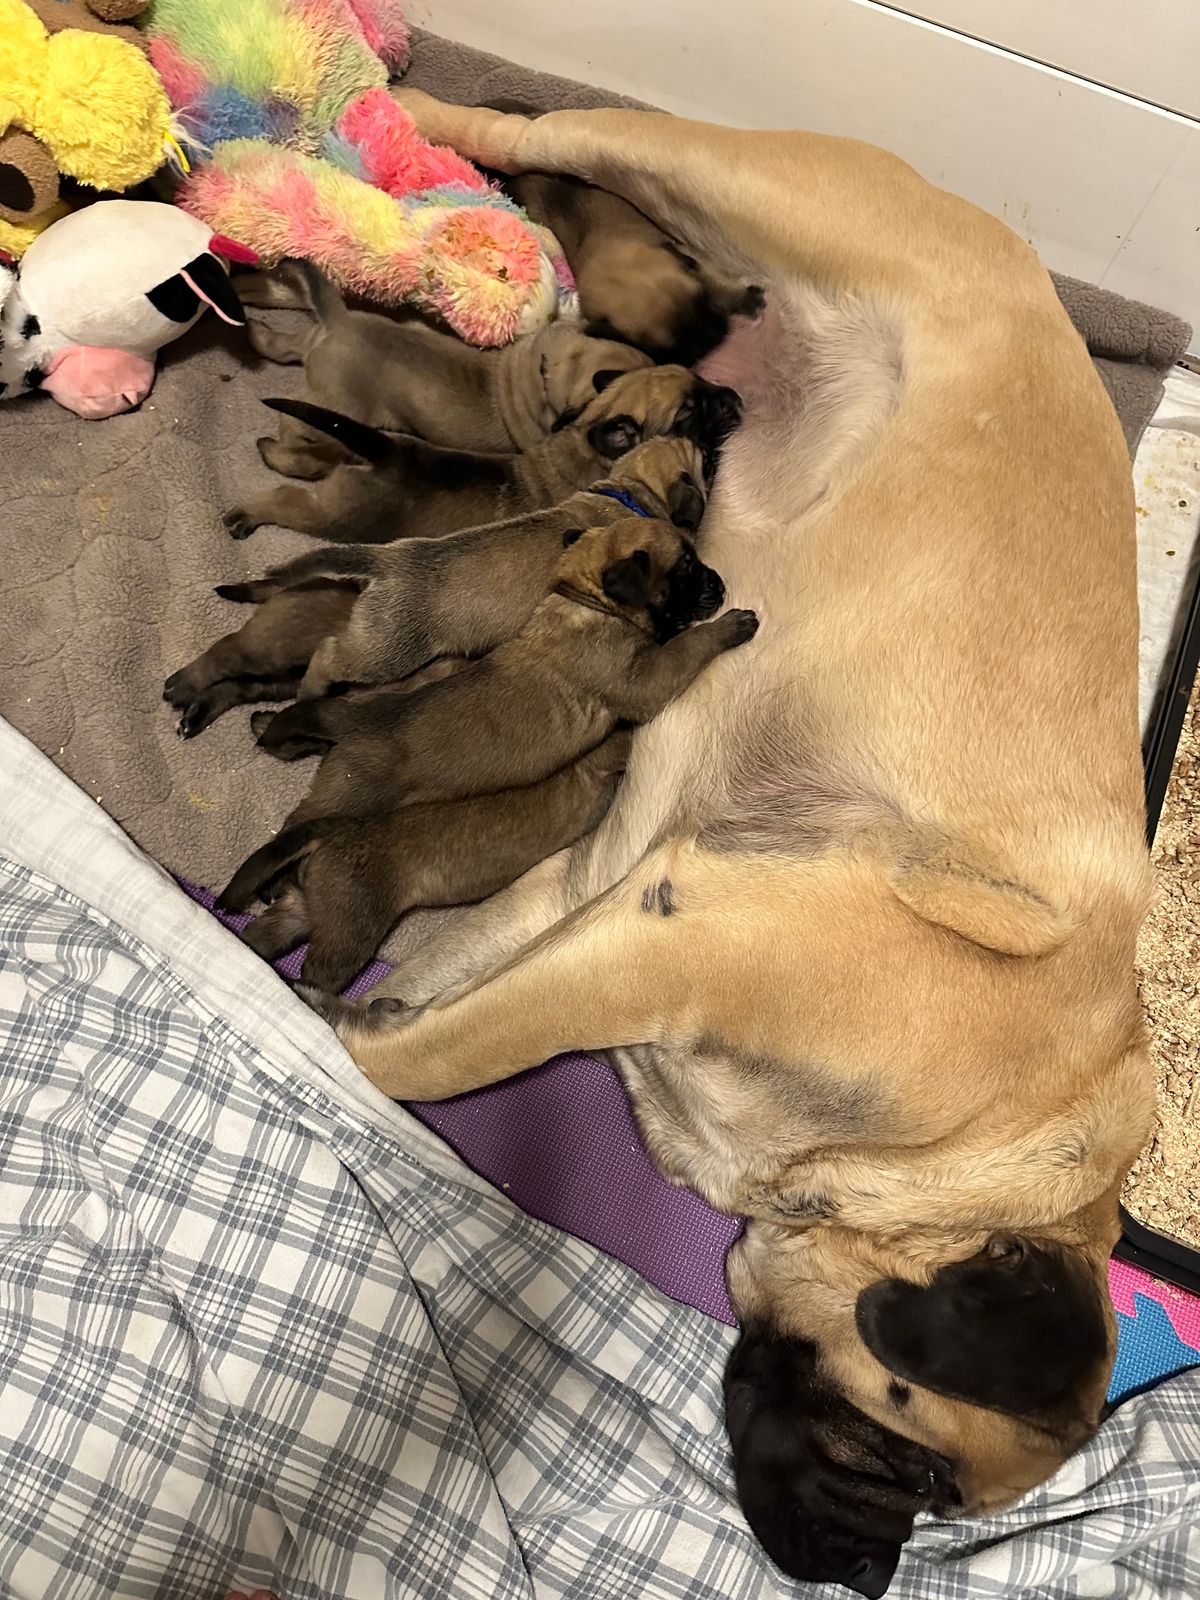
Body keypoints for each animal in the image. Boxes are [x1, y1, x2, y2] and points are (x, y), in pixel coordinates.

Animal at [193, 438, 707, 711]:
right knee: (329, 655)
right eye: (698, 458)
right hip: (387, 652)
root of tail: (388, 562)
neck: (627, 492)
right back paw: (311, 690)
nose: (706, 443)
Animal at [224, 364, 740, 543]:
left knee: (313, 457)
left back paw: (274, 451)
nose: (735, 397)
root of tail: (383, 451)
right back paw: (246, 513)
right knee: (288, 503)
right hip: (340, 515)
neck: (582, 440)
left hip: (348, 460)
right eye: (689, 411)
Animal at [237, 260, 652, 463]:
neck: (547, 366)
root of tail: (340, 320)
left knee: (285, 345)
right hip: (337, 405)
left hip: (313, 347)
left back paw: (257, 333)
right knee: (294, 422)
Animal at [289, 92, 1153, 1597]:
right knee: (554, 127)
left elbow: (456, 977)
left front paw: (365, 1001)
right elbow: (443, 1055)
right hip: (734, 177)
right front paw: (347, 1050)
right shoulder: (681, 938)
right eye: (914, 1470)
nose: (853, 1565)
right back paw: (414, 119)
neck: (969, 1157)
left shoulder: (599, 894)